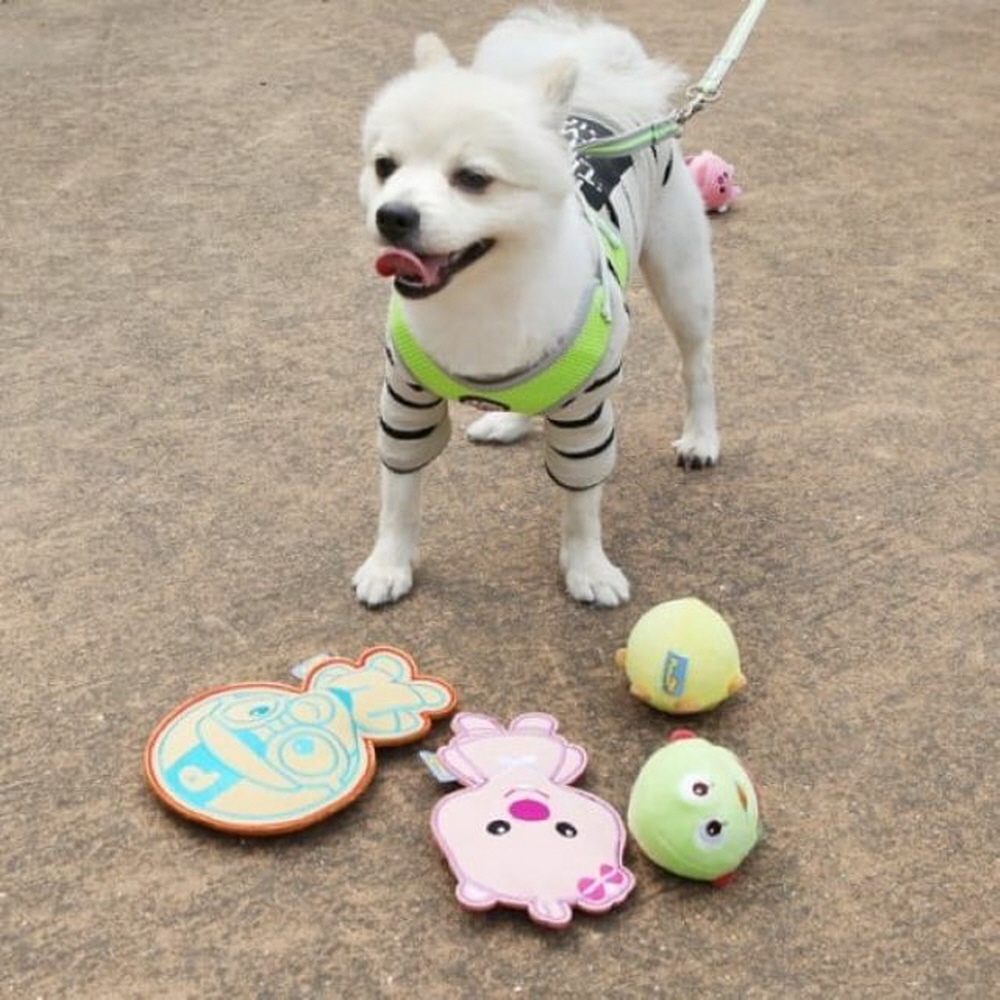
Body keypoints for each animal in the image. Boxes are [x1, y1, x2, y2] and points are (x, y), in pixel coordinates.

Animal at [352, 7, 720, 604]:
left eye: (473, 179)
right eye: (385, 166)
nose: (393, 215)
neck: (482, 300)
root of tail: (606, 87)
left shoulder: (588, 411)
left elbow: (582, 505)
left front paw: (588, 568)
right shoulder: (405, 400)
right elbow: (398, 494)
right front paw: (389, 564)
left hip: (682, 282)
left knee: (697, 365)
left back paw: (701, 438)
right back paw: (508, 421)